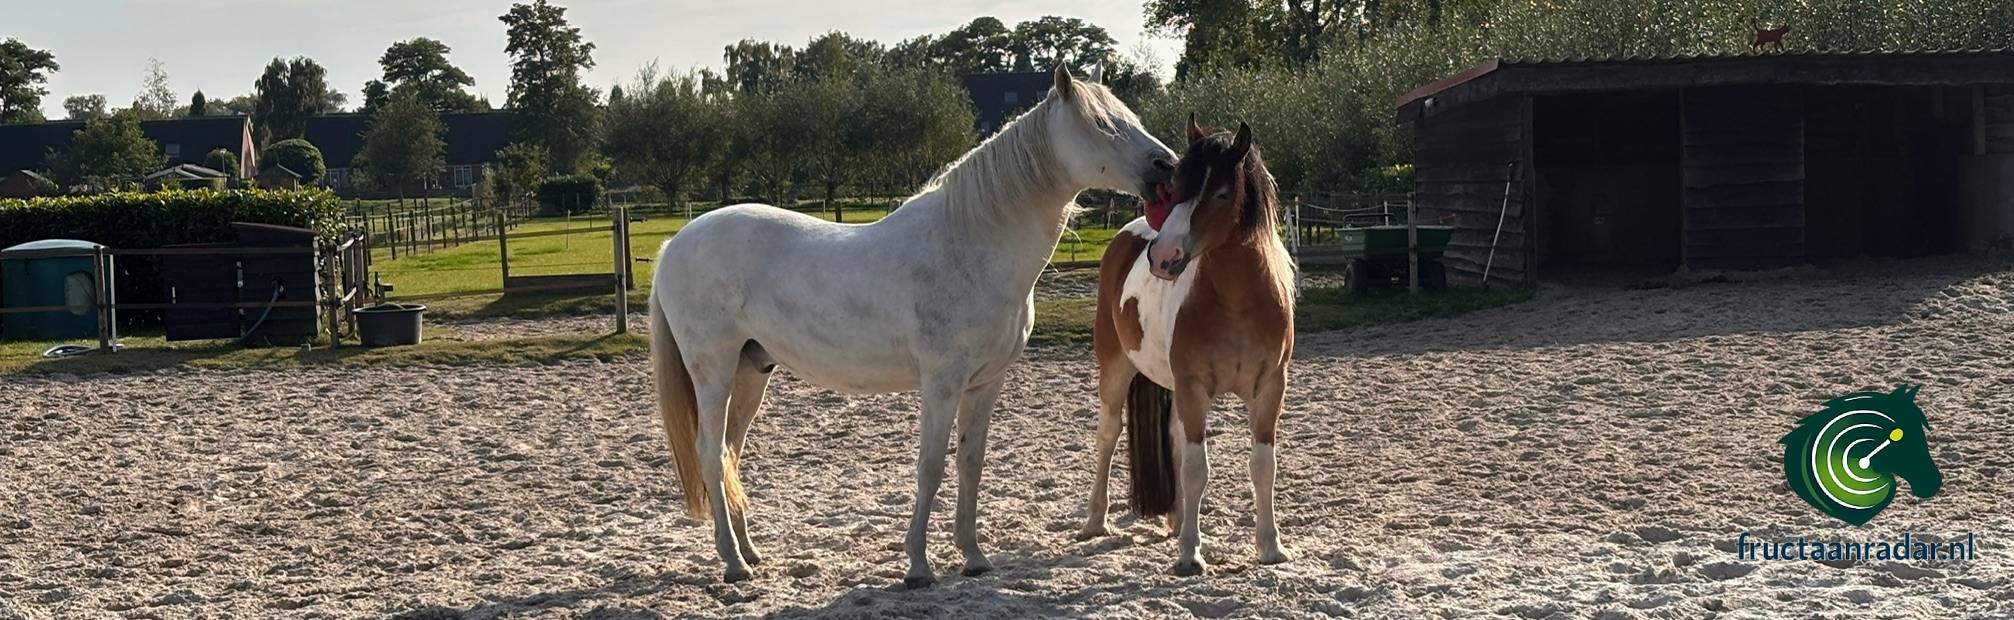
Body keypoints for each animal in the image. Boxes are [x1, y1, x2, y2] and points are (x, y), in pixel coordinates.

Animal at [649, 66, 1178, 586]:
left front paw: (973, 556)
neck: (970, 245)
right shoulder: (941, 383)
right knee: (709, 452)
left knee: (729, 453)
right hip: (713, 372)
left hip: (751, 371)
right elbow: (930, 468)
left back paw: (750, 552)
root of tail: (674, 245)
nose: (1167, 166)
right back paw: (732, 563)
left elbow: (970, 463)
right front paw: (919, 567)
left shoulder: (985, 383)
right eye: (1102, 124)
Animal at [1079, 116, 1296, 576]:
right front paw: (1190, 554)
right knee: (1108, 434)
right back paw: (1094, 521)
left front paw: (1270, 546)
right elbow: (1197, 468)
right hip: (1116, 368)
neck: (1238, 303)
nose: (1163, 256)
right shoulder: (1194, 387)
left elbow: (1262, 466)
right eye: (1177, 186)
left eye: (1221, 193)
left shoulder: (1270, 388)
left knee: (1174, 438)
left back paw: (1178, 519)